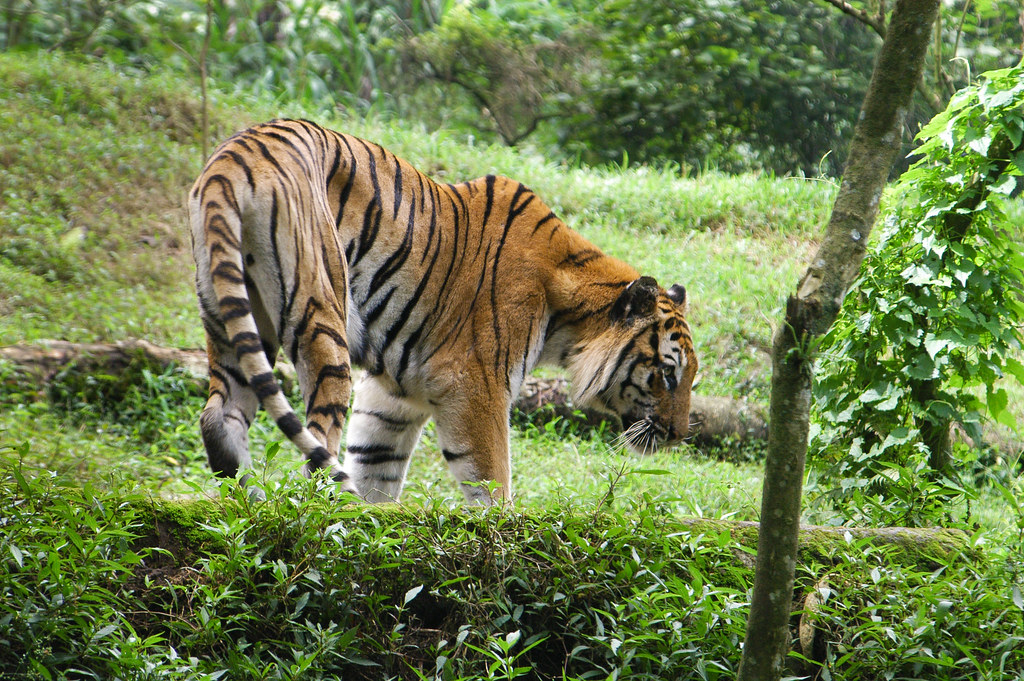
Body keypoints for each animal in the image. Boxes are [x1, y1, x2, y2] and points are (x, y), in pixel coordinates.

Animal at [186, 116, 696, 501]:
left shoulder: (394, 395)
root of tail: (233, 156)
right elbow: (492, 481)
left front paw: (376, 519)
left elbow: (374, 464)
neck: (566, 319)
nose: (677, 436)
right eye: (667, 373)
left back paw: (250, 499)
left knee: (219, 415)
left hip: (232, 311)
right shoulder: (475, 383)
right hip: (319, 310)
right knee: (318, 437)